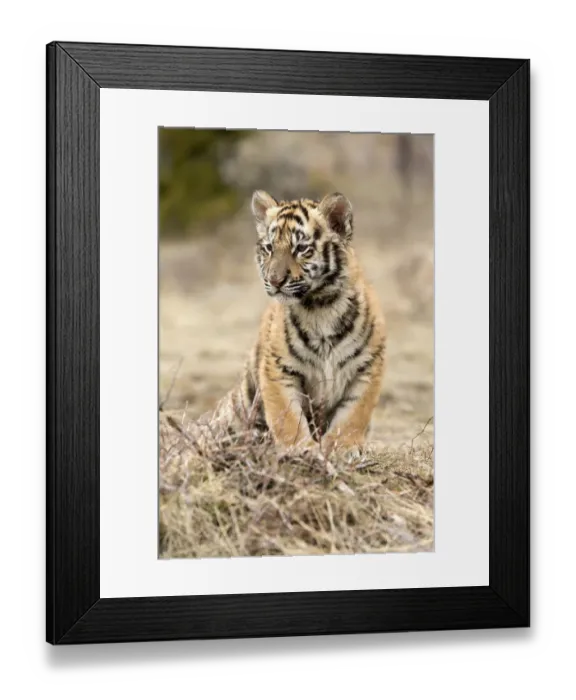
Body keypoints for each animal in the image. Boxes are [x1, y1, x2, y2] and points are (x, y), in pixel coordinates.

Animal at [209, 190, 387, 455]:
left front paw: (343, 447)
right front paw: (300, 449)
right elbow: (288, 417)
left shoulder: (367, 367)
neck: (320, 305)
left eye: (301, 248)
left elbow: (354, 414)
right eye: (269, 248)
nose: (274, 280)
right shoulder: (278, 369)